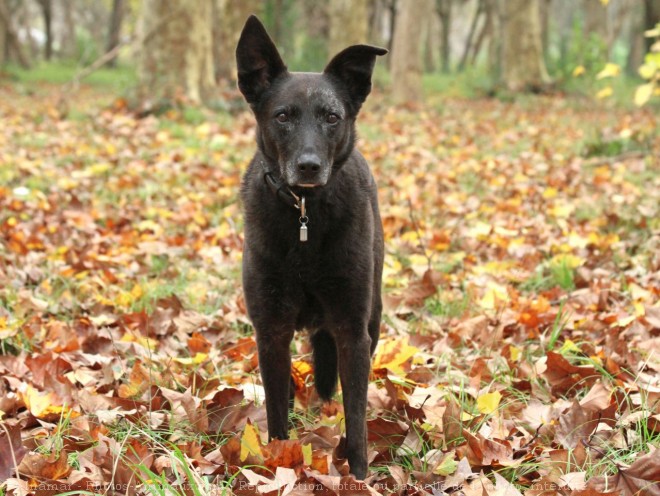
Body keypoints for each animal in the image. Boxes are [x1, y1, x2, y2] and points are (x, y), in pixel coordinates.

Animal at [236, 16, 386, 480]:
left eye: (332, 118)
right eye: (283, 116)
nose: (308, 166)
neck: (304, 213)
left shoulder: (353, 331)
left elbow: (356, 417)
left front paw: (359, 477)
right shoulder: (270, 329)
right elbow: (275, 411)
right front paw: (276, 461)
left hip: (373, 316)